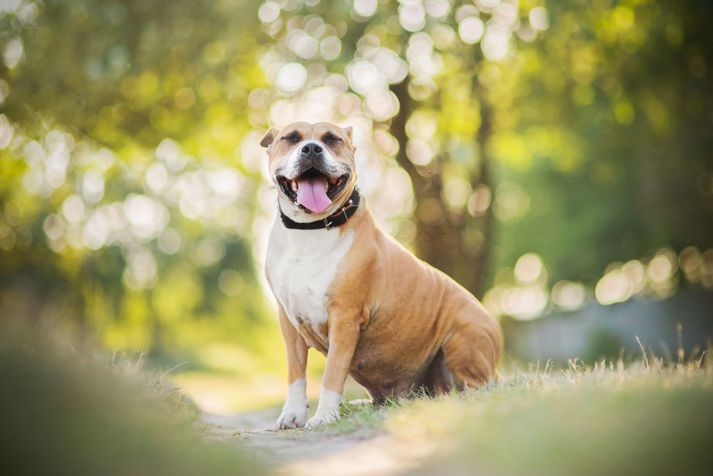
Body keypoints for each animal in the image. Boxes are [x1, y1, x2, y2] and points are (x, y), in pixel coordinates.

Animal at [262, 122, 500, 428]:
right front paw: (293, 413)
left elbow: (332, 373)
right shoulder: (288, 320)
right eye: (291, 138)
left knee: (474, 388)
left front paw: (324, 415)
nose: (312, 148)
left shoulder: (345, 317)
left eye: (332, 139)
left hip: (462, 339)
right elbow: (295, 373)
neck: (310, 229)